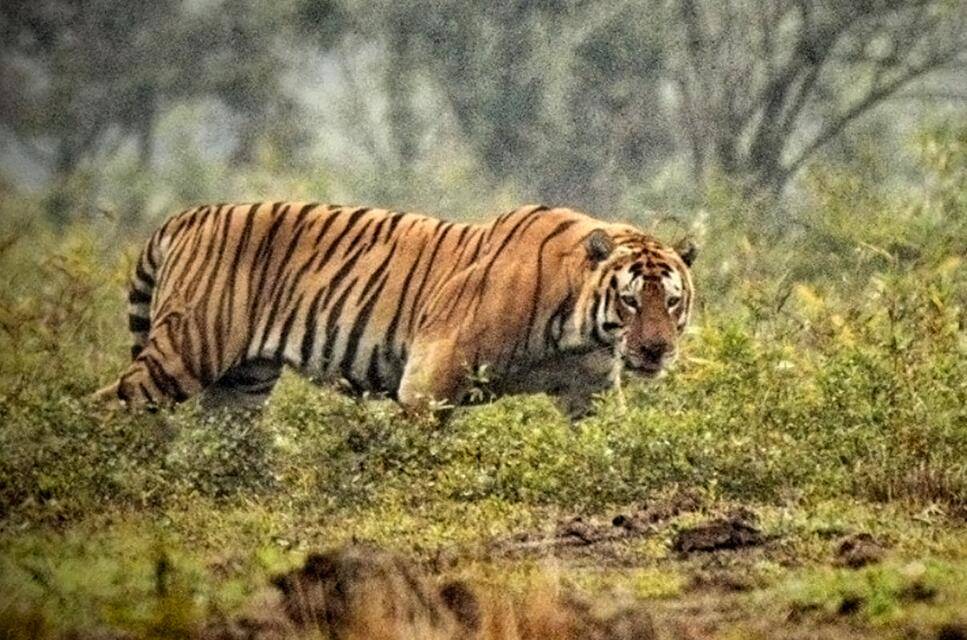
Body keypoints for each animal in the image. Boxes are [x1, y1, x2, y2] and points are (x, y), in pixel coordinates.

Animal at [96, 202, 696, 418]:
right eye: (630, 300)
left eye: (671, 302)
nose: (655, 350)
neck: (580, 329)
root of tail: (188, 215)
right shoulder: (430, 381)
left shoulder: (589, 392)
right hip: (186, 351)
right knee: (110, 402)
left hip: (242, 381)